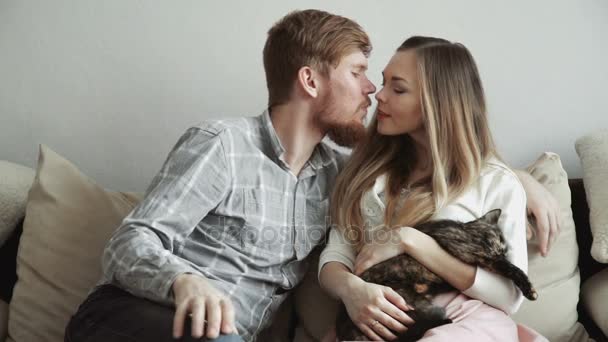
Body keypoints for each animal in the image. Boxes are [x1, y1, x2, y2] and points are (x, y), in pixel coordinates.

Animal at [334, 208, 540, 342]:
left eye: (505, 248)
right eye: (495, 240)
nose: (501, 251)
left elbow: (505, 266)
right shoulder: (470, 250)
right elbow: (510, 267)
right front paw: (529, 289)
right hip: (413, 307)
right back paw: (445, 321)